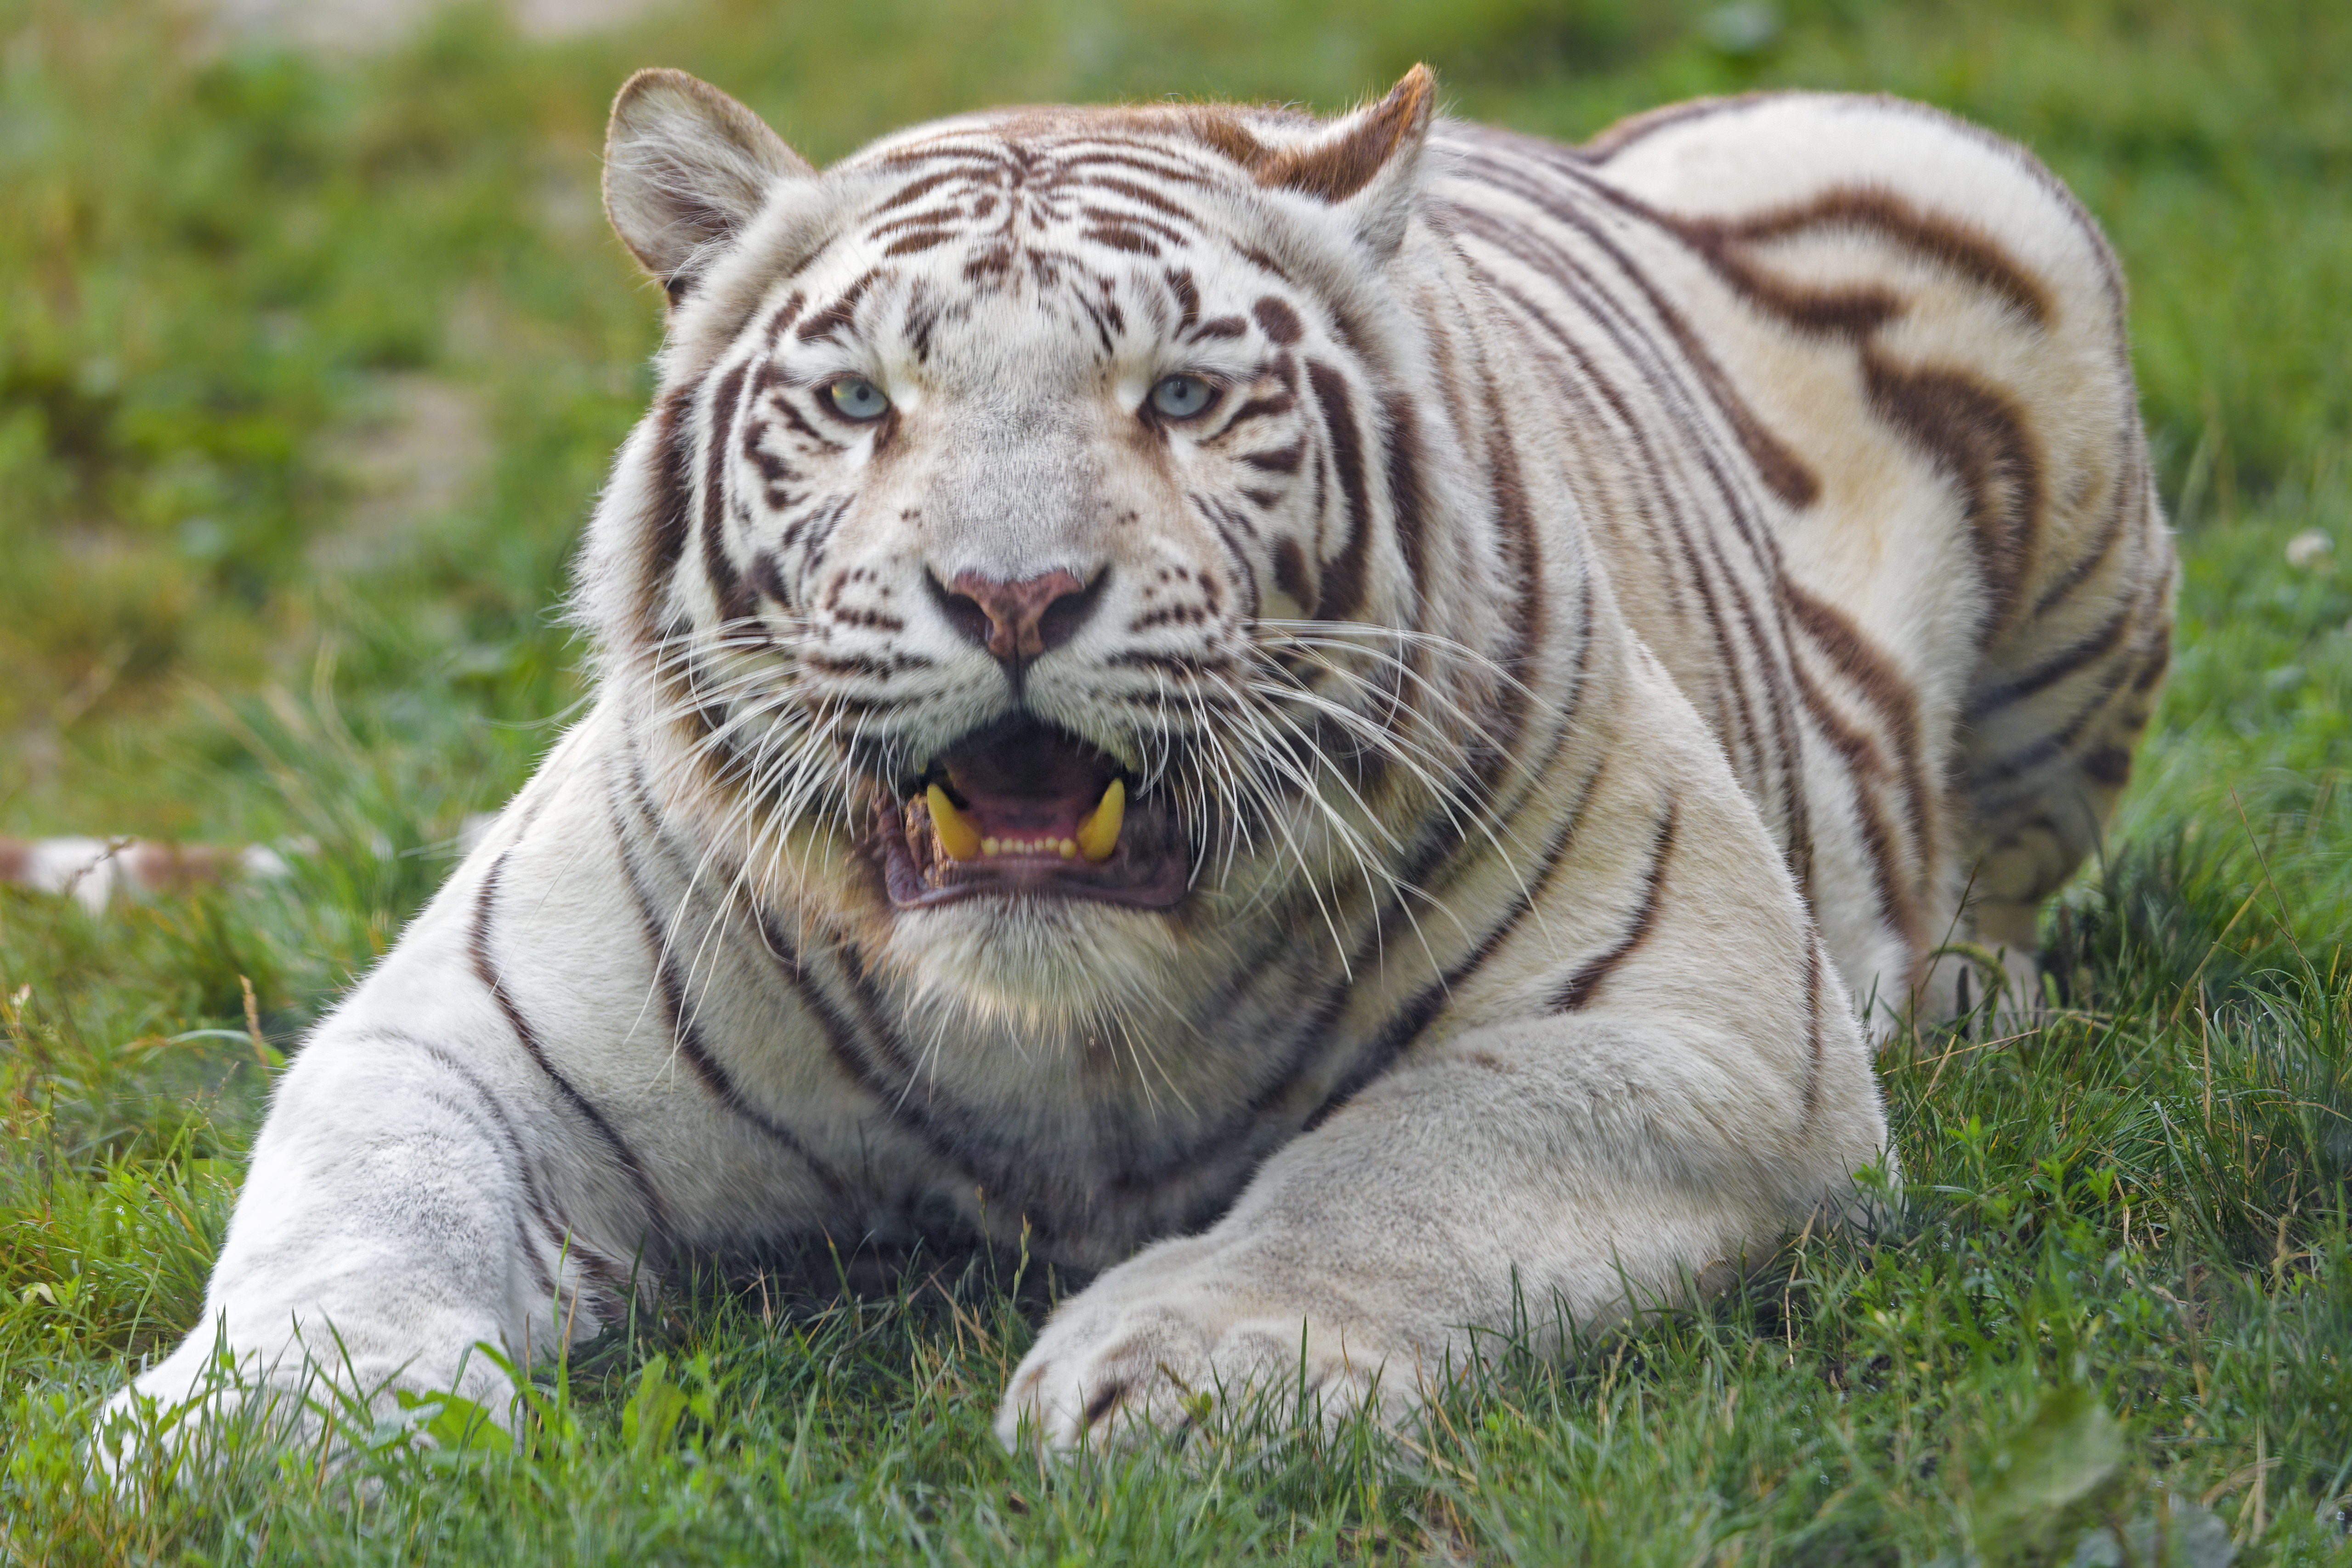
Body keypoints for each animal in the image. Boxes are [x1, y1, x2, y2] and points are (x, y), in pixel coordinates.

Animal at [106, 64, 2164, 1457]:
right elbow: (358, 1204)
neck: (1053, 1040)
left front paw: (1179, 1367)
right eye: (856, 400)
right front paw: (276, 1417)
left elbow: (1406, 1160)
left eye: (1178, 395)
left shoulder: (1705, 1025)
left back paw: (1969, 982)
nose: (1011, 592)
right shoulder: (464, 1025)